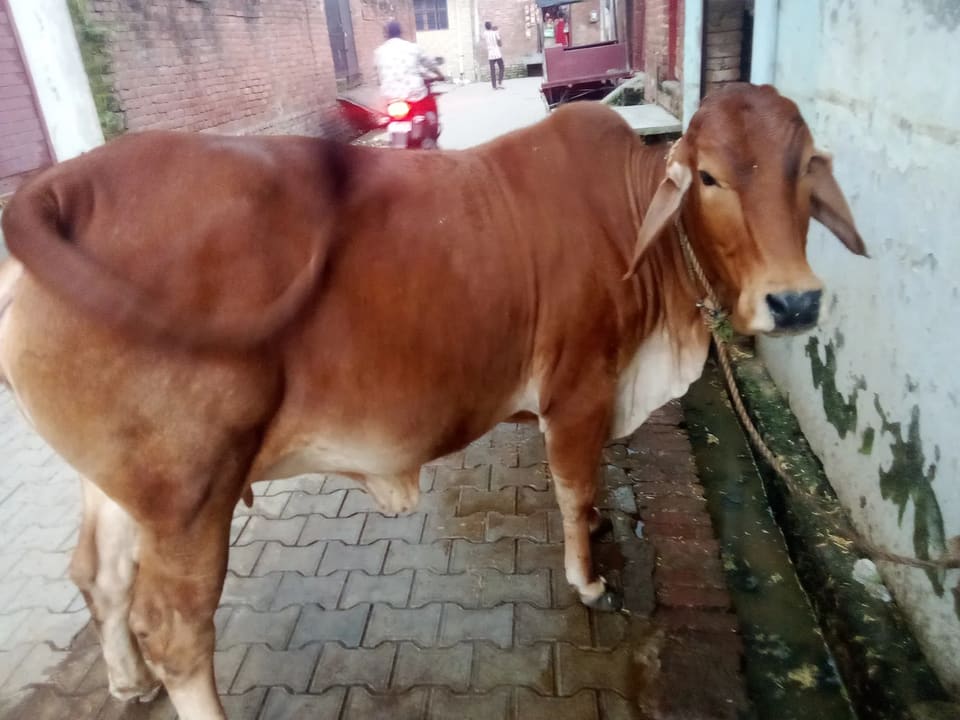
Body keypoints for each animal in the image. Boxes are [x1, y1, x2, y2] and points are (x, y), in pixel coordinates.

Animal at [0, 83, 864, 719]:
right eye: (710, 177)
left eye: (804, 168)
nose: (795, 302)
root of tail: (65, 184)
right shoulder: (578, 389)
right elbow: (573, 484)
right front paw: (587, 577)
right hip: (192, 495)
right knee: (176, 633)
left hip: (122, 487)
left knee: (98, 575)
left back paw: (126, 680)